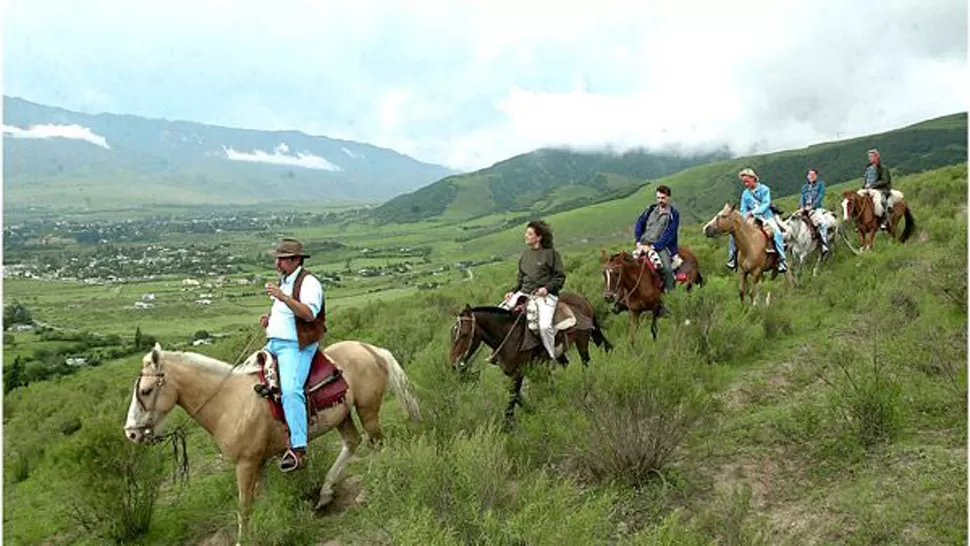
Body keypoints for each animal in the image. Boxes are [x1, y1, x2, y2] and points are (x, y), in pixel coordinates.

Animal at [124, 340, 420, 544]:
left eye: (146, 391)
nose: (131, 433)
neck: (228, 403)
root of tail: (369, 349)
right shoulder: (260, 461)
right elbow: (264, 498)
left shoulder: (245, 464)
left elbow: (244, 505)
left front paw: (245, 538)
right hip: (343, 415)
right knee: (353, 443)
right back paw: (325, 493)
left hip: (367, 410)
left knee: (376, 444)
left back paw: (366, 491)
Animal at [448, 292, 612, 428]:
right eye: (453, 333)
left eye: (464, 334)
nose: (454, 363)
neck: (509, 335)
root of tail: (582, 299)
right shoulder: (514, 372)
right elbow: (517, 396)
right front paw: (533, 410)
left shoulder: (519, 372)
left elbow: (513, 396)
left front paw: (508, 427)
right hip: (560, 353)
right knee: (568, 364)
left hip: (582, 339)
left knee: (586, 363)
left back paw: (587, 393)